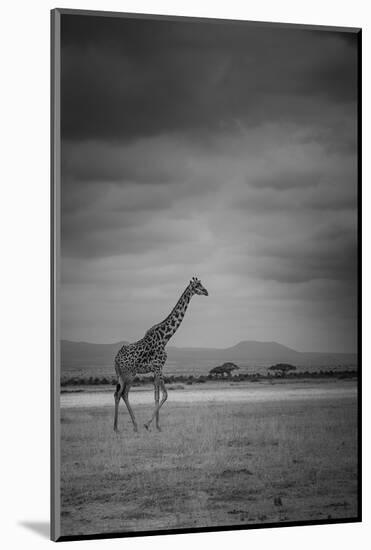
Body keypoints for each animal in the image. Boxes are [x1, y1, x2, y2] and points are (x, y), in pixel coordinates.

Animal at [113, 278, 209, 434]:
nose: (206, 291)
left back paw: (117, 427)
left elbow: (156, 396)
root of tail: (116, 359)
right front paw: (147, 424)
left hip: (121, 375)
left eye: (201, 284)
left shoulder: (156, 369)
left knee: (118, 394)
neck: (165, 337)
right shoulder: (158, 367)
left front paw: (157, 426)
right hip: (130, 374)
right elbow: (165, 394)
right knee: (124, 394)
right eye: (197, 286)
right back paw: (135, 425)